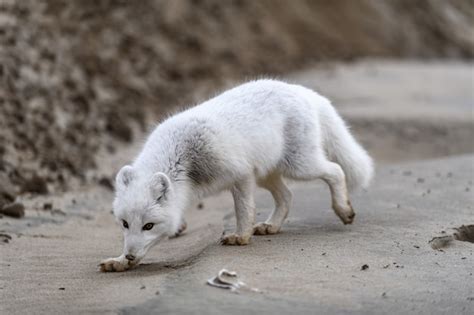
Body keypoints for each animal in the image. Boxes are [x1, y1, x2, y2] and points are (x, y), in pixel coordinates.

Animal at [100, 80, 374, 272]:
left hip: (299, 165)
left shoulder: (240, 174)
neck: (184, 157)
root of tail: (302, 90)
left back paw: (344, 210)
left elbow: (244, 210)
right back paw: (272, 226)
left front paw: (241, 237)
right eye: (124, 224)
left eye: (148, 225)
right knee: (287, 195)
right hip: (267, 174)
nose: (130, 255)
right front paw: (119, 262)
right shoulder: (245, 176)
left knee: (336, 171)